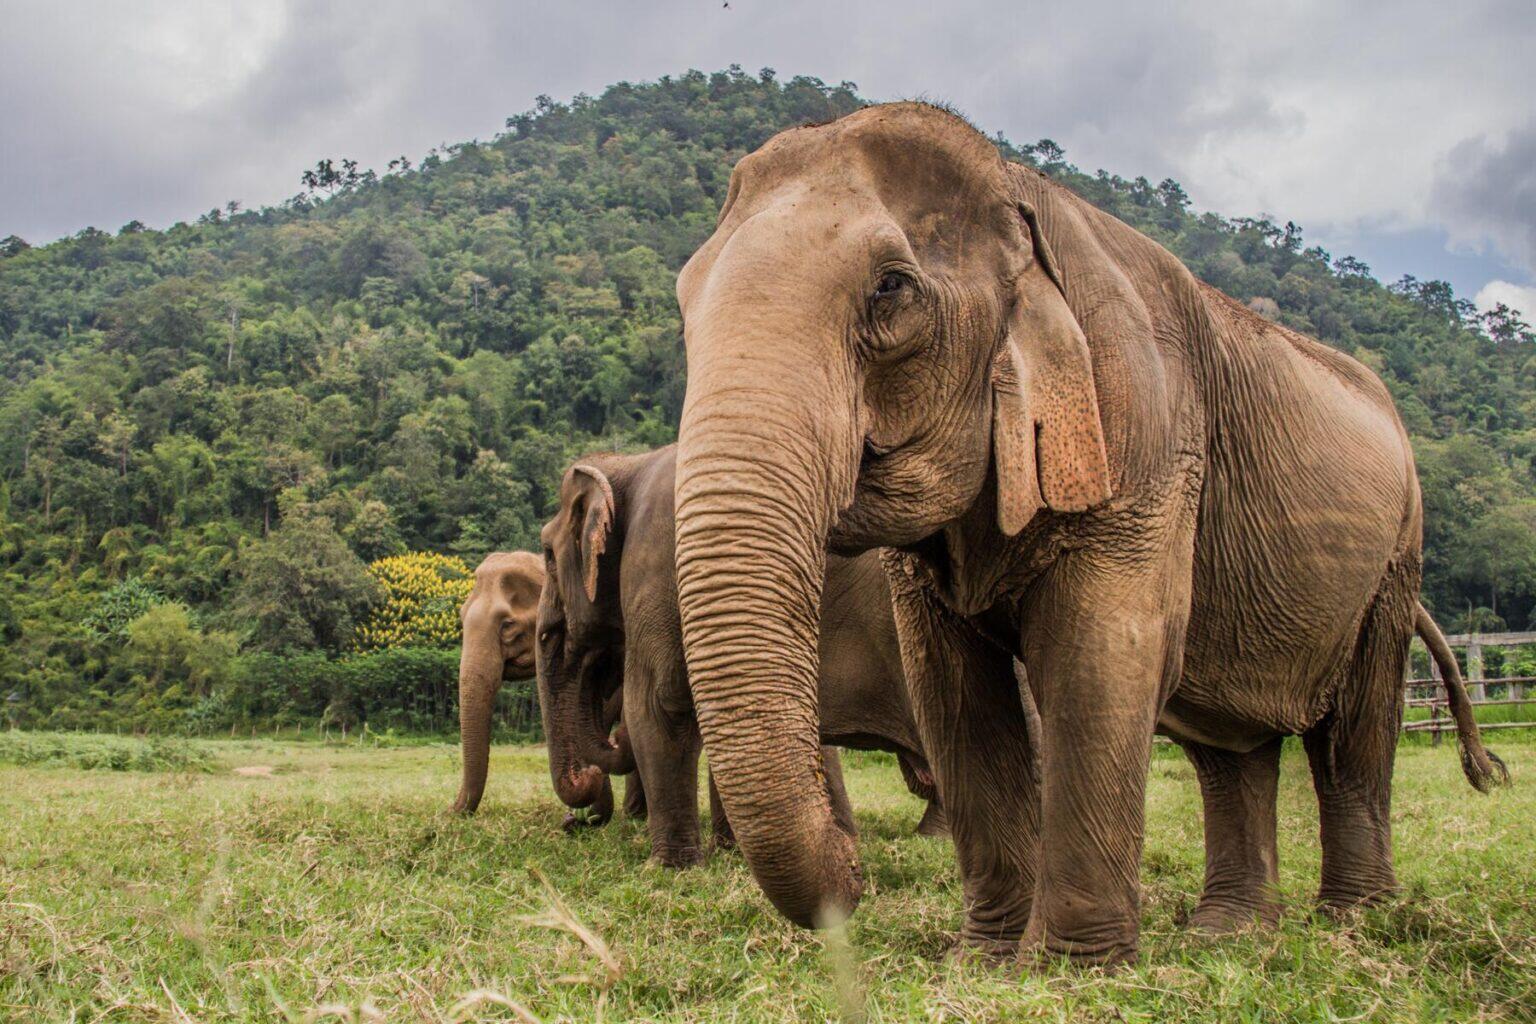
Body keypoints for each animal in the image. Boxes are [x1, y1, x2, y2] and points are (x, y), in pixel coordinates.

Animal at [534, 443, 946, 868]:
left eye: (547, 554)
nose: (575, 819)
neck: (631, 463)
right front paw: (730, 853)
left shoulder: (656, 562)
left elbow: (658, 703)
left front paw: (669, 867)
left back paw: (933, 836)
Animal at [667, 102, 1505, 963]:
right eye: (683, 303)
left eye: (891, 288)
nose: (853, 866)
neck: (1016, 198)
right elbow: (950, 688)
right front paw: (987, 959)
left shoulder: (1146, 426)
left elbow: (1100, 655)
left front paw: (1067, 968)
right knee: (1230, 746)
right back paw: (1227, 932)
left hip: (1395, 559)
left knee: (1354, 734)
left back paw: (1354, 922)